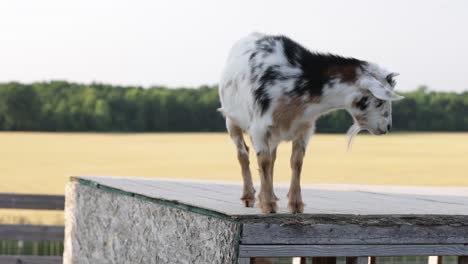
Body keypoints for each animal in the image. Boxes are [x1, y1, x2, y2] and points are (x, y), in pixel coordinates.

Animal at [218, 33, 404, 214]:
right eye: (379, 101)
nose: (387, 127)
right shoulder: (259, 128)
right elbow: (263, 161)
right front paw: (268, 205)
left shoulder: (304, 128)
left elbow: (296, 161)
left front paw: (295, 204)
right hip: (231, 121)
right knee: (243, 154)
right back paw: (249, 197)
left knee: (272, 158)